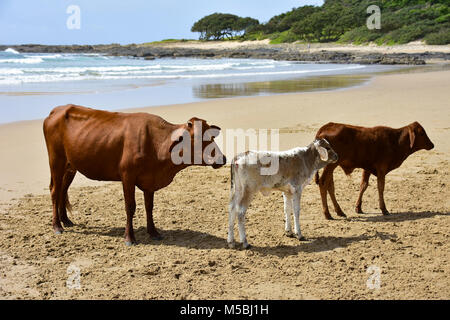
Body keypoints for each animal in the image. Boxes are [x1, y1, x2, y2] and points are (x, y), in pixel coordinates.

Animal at [42, 105, 227, 245]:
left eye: (211, 136)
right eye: (198, 138)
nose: (222, 158)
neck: (156, 144)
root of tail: (57, 110)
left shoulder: (150, 181)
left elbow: (149, 207)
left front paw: (153, 232)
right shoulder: (127, 177)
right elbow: (130, 207)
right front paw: (129, 237)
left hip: (70, 166)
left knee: (62, 190)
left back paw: (66, 220)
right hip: (56, 161)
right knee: (54, 190)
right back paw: (57, 226)